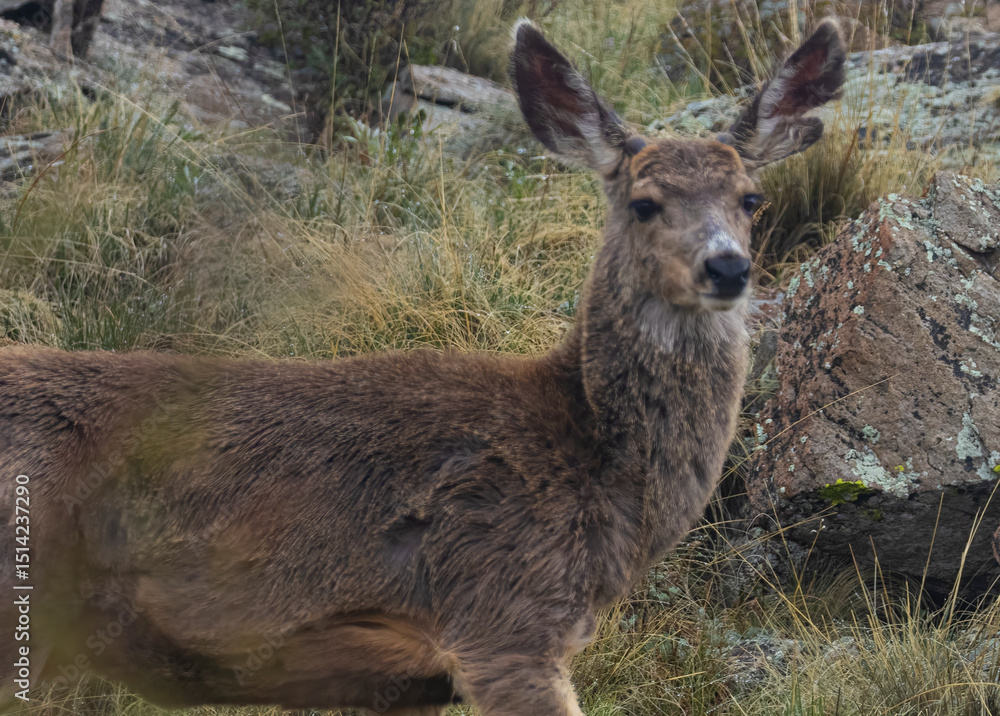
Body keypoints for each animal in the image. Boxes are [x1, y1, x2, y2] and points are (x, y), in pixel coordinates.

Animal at [0, 19, 845, 716]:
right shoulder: (502, 615)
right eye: (644, 203)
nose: (728, 267)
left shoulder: (412, 679)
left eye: (751, 198)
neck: (594, 469)